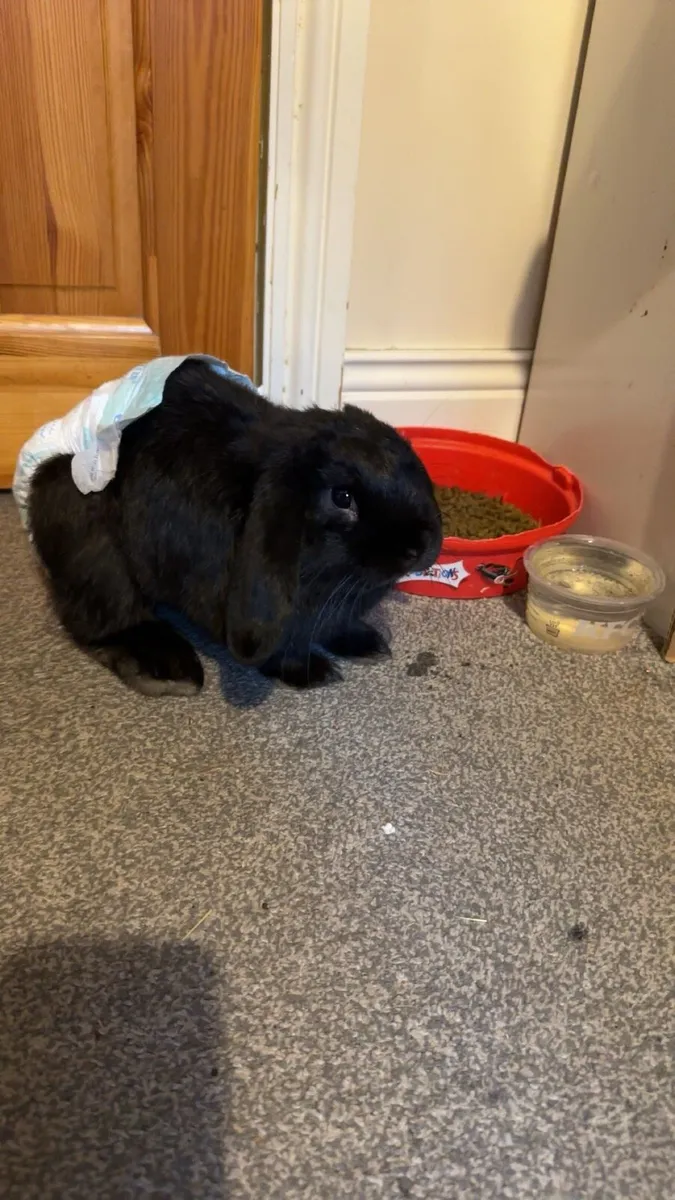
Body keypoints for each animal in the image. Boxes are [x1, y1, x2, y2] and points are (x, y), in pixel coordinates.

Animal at [27, 357, 442, 696]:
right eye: (342, 498)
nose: (419, 545)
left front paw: (366, 642)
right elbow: (279, 648)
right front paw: (311, 672)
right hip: (92, 546)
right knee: (105, 621)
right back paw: (170, 671)